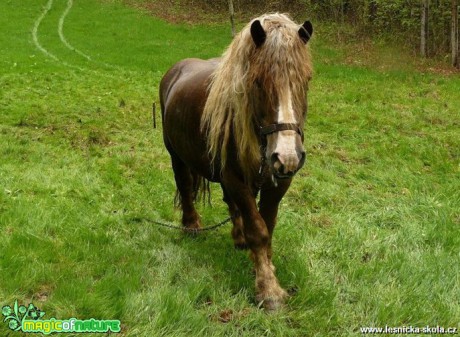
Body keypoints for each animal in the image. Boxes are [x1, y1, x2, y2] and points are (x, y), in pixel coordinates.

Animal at [158, 13, 312, 310]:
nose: (287, 156)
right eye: (258, 82)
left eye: (306, 80)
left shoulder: (277, 183)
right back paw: (192, 225)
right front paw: (268, 289)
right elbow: (259, 230)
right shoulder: (235, 178)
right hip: (176, 155)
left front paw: (264, 267)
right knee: (185, 186)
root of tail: (177, 69)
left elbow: (266, 226)